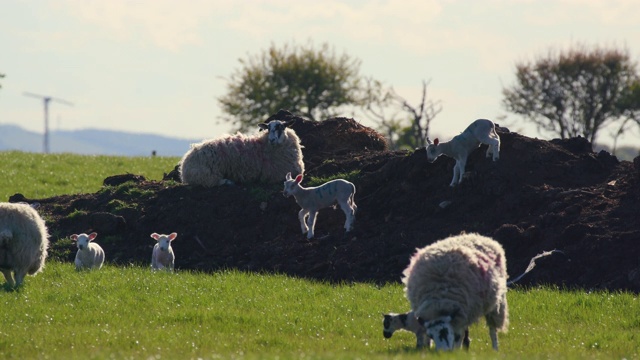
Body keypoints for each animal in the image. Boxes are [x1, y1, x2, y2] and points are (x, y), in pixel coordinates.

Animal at [176, 119, 304, 187]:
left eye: (281, 127)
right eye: (268, 128)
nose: (272, 139)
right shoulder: (275, 175)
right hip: (206, 174)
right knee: (211, 182)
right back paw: (228, 181)